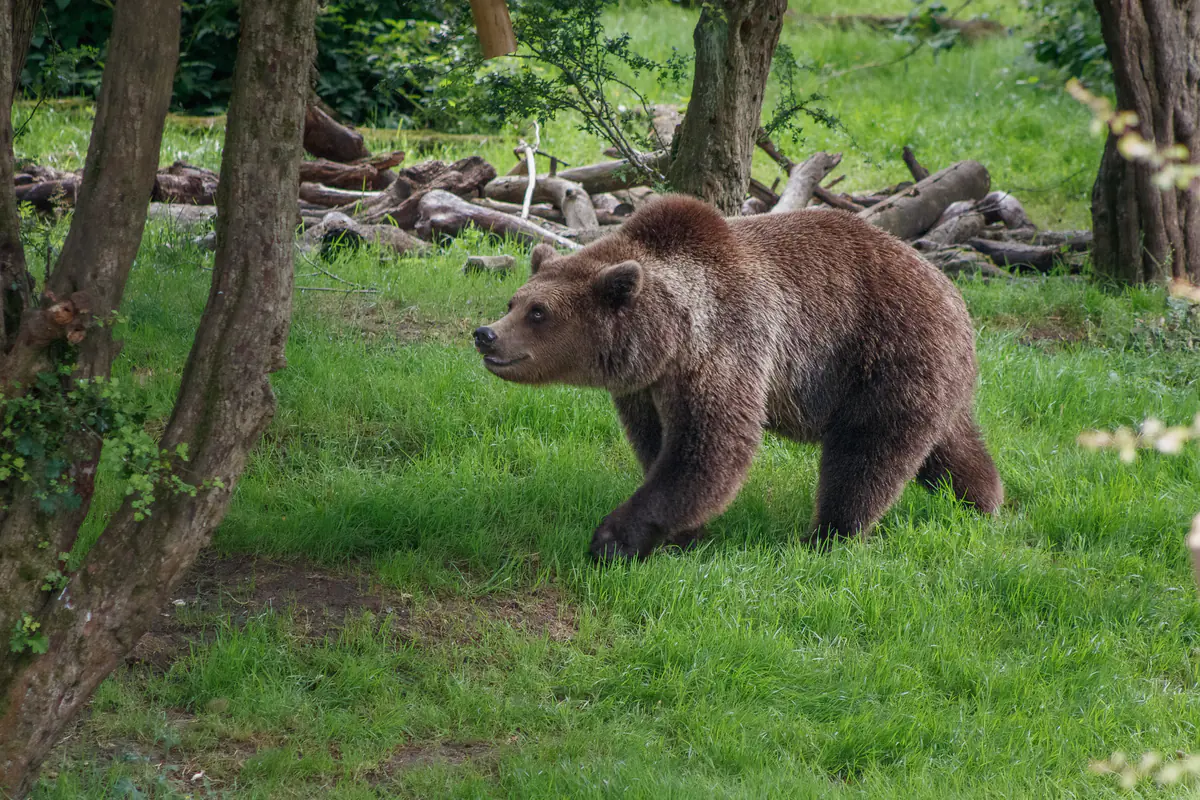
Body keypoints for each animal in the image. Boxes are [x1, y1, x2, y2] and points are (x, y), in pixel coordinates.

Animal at [472, 194, 1003, 561]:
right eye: (513, 301)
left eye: (539, 312)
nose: (486, 335)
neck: (671, 337)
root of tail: (954, 295)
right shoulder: (646, 387)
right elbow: (658, 443)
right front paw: (683, 535)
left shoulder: (726, 348)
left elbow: (710, 449)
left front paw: (614, 538)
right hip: (927, 379)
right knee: (950, 447)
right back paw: (984, 503)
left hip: (885, 356)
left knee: (865, 457)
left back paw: (828, 535)